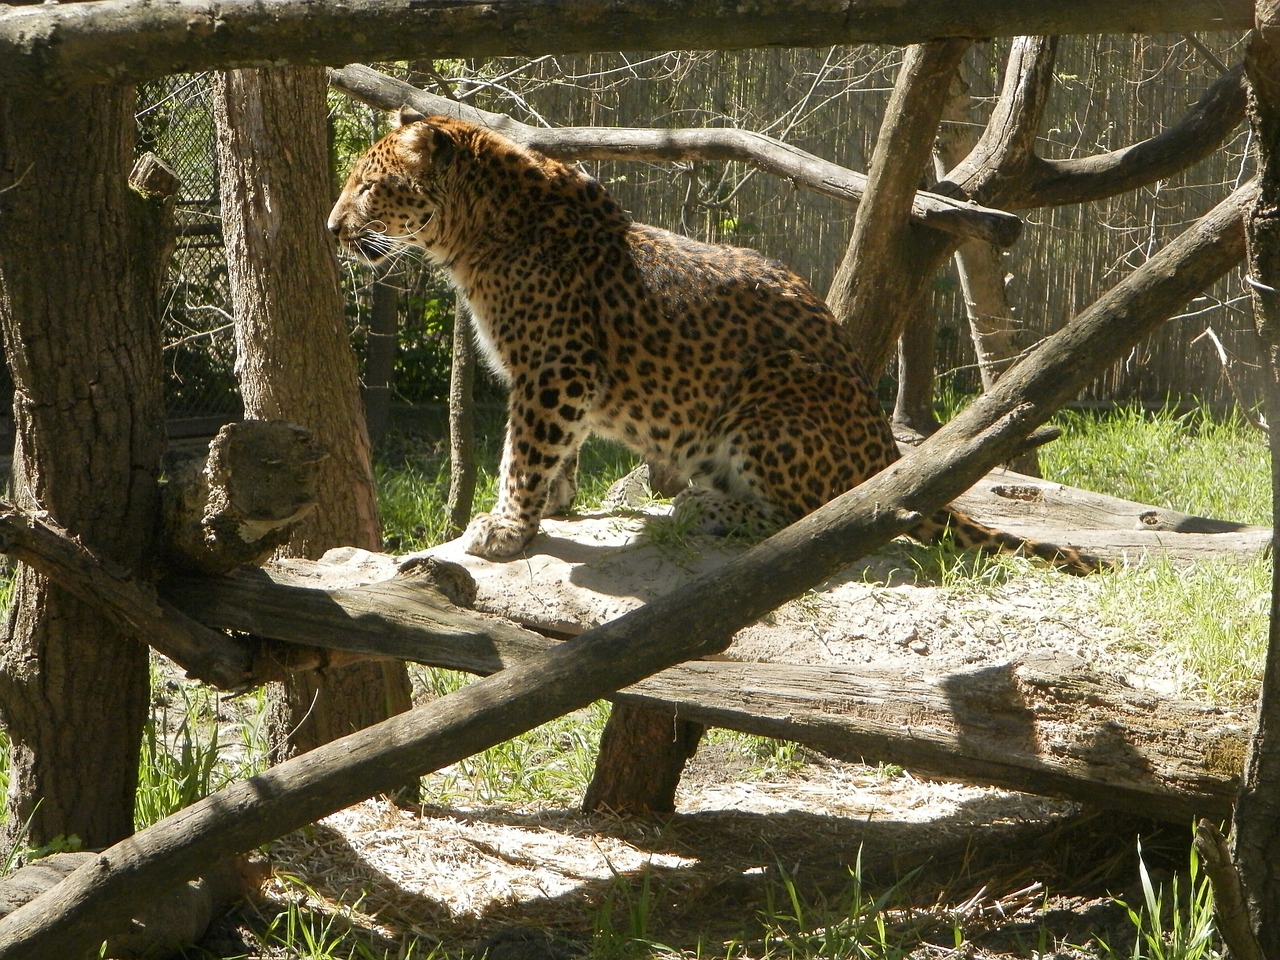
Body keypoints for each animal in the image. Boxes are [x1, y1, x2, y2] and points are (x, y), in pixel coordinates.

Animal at [330, 106, 1100, 570]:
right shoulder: (560, 375)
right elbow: (554, 449)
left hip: (775, 392)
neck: (476, 235)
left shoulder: (556, 368)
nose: (334, 228)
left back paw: (707, 506)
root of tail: (886, 454)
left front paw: (506, 528)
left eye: (369, 188)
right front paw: (552, 505)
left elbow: (524, 450)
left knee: (821, 519)